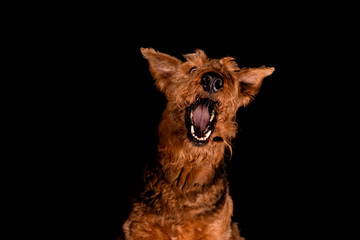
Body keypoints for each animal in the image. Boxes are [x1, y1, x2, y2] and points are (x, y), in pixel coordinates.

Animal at [122, 47, 274, 239]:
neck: (186, 174)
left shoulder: (216, 230)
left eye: (229, 76)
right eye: (192, 69)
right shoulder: (140, 229)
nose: (212, 80)